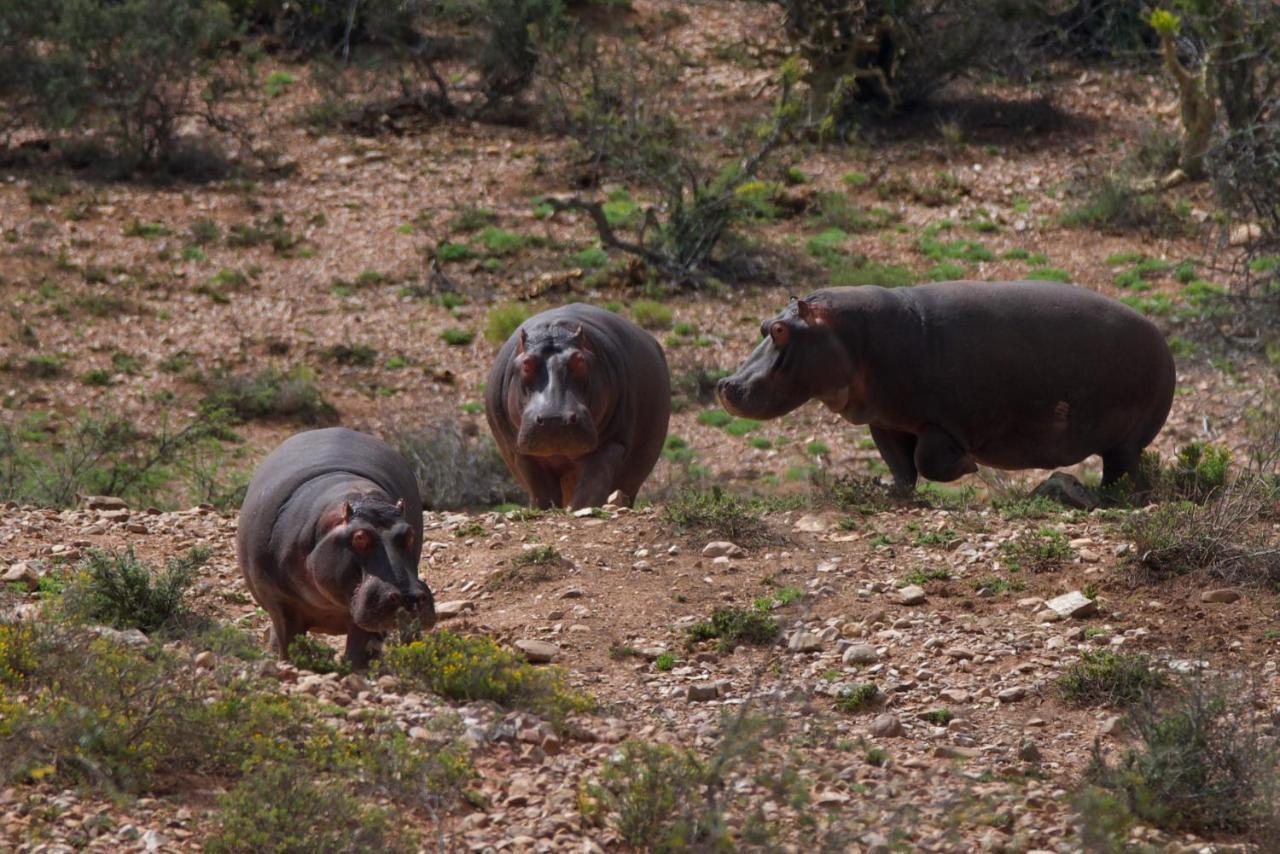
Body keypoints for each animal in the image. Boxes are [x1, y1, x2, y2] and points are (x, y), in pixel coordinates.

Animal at [238, 425, 437, 665]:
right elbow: (288, 638)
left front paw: (358, 667)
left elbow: (361, 644)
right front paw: (290, 663)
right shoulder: (280, 601)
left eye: (409, 534)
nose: (410, 597)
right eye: (359, 537)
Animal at [483, 303, 675, 512]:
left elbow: (594, 479)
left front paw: (581, 508)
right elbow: (541, 489)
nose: (555, 419)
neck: (554, 330)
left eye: (580, 360)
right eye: (526, 363)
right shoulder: (520, 453)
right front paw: (545, 509)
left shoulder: (614, 442)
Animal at [716, 281, 1172, 494]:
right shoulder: (885, 420)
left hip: (1124, 441)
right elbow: (900, 465)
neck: (851, 335)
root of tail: (1161, 336)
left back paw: (1103, 496)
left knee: (1121, 471)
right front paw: (891, 493)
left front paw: (969, 467)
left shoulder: (943, 422)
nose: (725, 385)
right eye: (764, 325)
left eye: (780, 331)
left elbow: (929, 459)